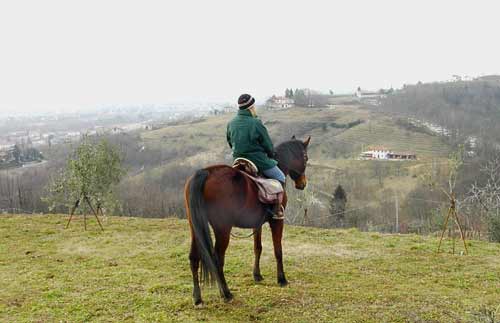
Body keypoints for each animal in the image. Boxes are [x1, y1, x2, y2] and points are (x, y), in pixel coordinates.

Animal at [184, 135, 308, 306]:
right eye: (306, 158)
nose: (303, 183)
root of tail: (205, 173)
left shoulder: (257, 224)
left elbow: (258, 248)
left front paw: (257, 275)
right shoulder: (277, 221)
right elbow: (278, 250)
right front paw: (281, 279)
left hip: (195, 228)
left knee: (193, 258)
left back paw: (197, 297)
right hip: (223, 229)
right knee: (217, 259)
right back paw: (226, 293)